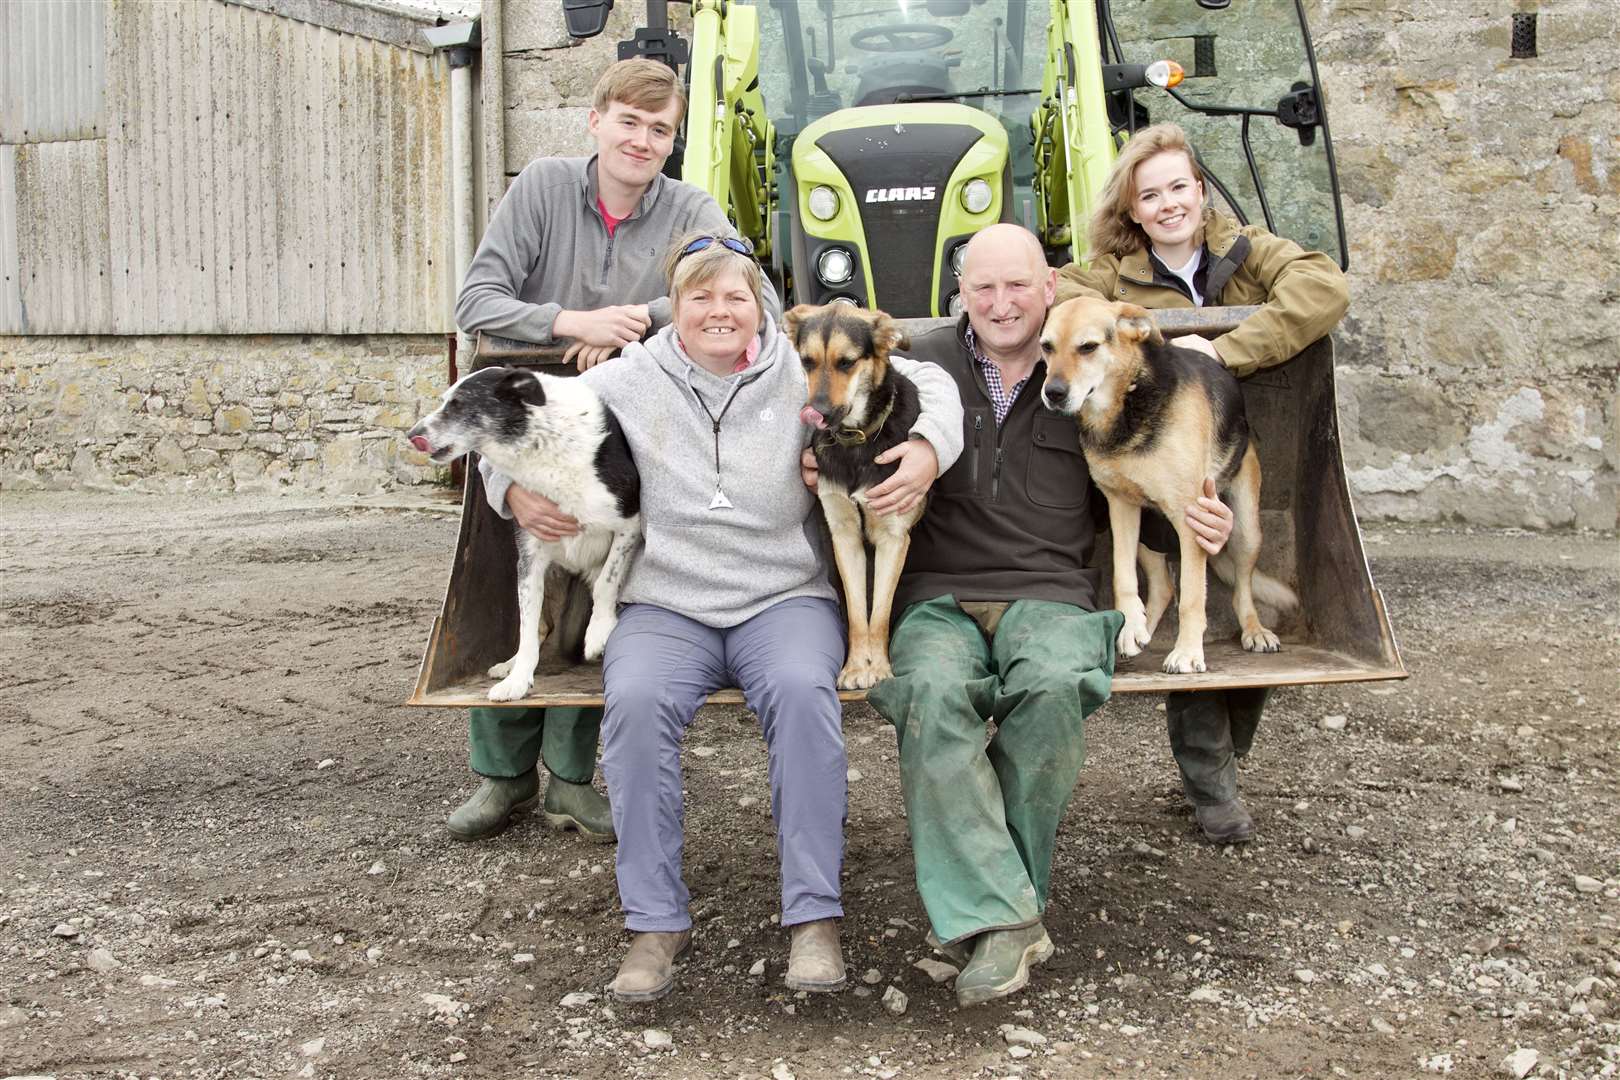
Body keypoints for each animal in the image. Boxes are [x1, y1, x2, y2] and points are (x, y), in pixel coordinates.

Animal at [408, 367, 641, 705]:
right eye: (444, 401)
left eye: (458, 403)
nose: (411, 434)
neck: (543, 442)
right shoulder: (530, 559)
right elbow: (527, 629)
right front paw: (518, 680)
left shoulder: (629, 523)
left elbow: (606, 583)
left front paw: (598, 631)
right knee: (542, 625)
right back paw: (510, 664)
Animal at [784, 304, 926, 693]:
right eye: (807, 361)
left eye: (846, 362)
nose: (816, 413)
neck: (857, 442)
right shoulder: (844, 537)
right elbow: (858, 613)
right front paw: (854, 667)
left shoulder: (893, 537)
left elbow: (878, 615)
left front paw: (879, 668)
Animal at [1043, 296, 1296, 676]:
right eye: (1046, 347)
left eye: (1088, 347)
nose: (1053, 393)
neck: (1129, 403)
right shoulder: (1122, 507)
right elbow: (1123, 578)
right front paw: (1131, 627)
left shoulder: (1191, 519)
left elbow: (1191, 597)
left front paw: (1188, 652)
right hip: (1147, 529)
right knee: (1162, 585)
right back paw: (1138, 631)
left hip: (1245, 528)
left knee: (1242, 586)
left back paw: (1254, 630)